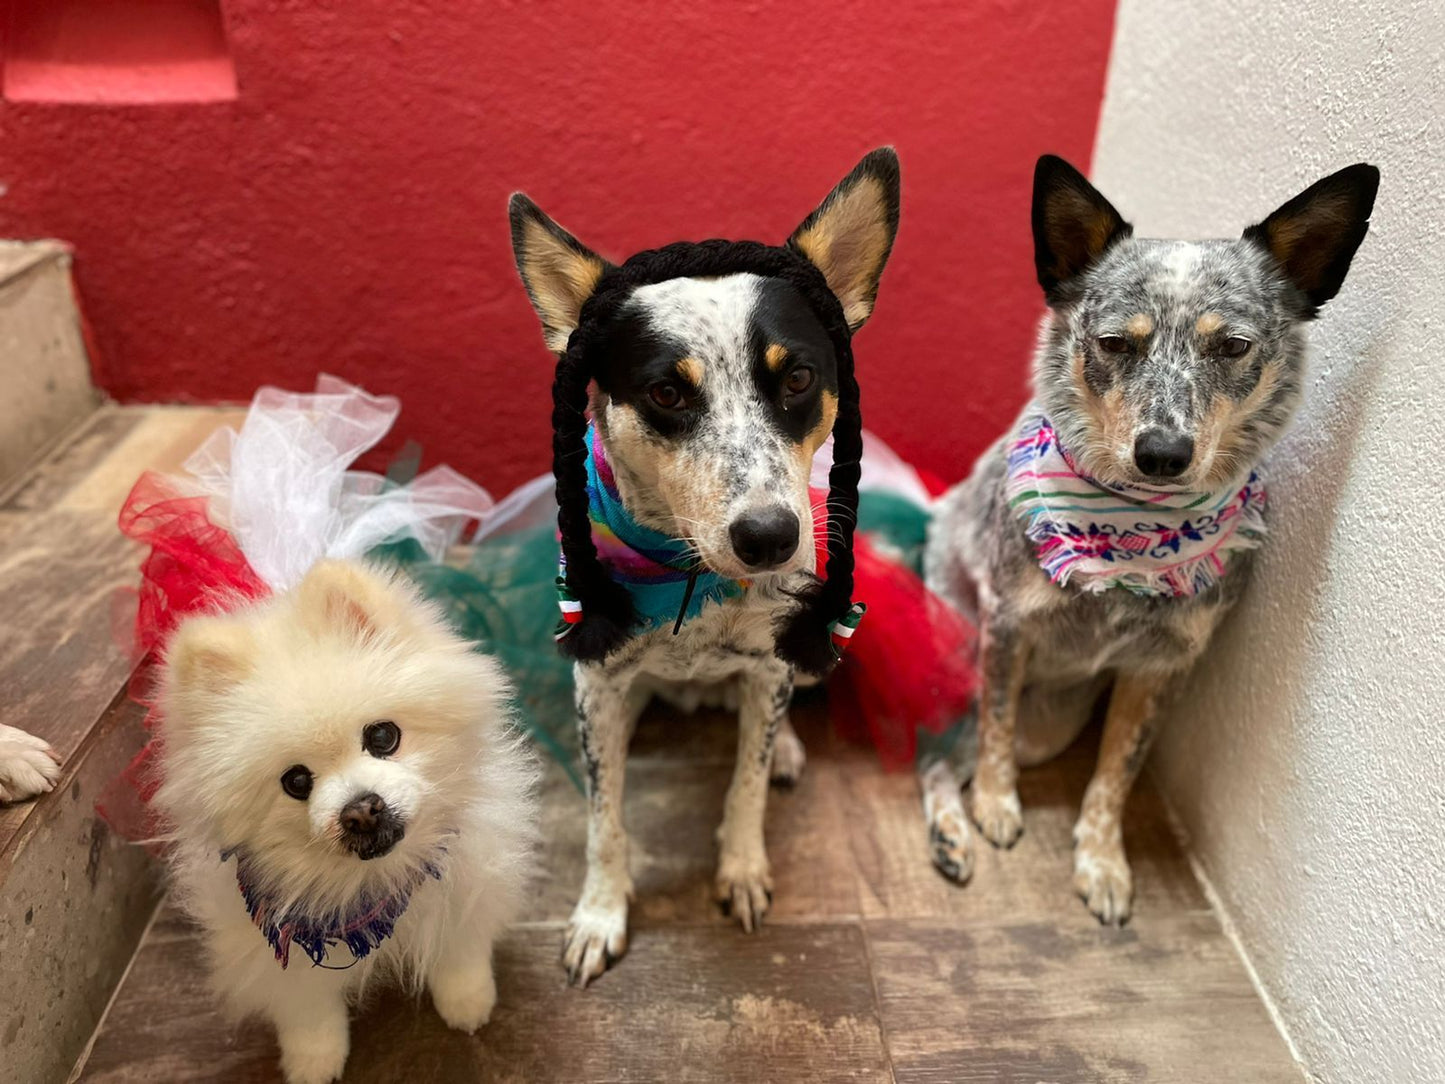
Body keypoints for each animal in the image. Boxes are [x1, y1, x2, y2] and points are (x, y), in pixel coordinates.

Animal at [153, 560, 537, 1084]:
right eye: (296, 781)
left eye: (382, 736)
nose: (360, 809)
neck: (373, 887)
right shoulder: (275, 952)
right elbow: (307, 1010)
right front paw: (313, 1060)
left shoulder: (466, 877)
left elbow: (459, 947)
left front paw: (467, 1000)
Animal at [502, 148, 895, 988]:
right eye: (665, 391)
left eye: (797, 378)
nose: (770, 536)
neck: (690, 577)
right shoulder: (597, 682)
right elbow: (604, 817)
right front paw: (599, 912)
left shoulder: (767, 667)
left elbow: (744, 785)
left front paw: (742, 869)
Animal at [919, 154, 1381, 925]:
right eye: (1114, 343)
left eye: (1232, 346)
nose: (1162, 453)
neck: (1135, 536)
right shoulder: (1007, 628)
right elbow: (994, 730)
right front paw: (995, 805)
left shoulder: (1159, 669)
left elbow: (1116, 774)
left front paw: (1103, 862)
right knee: (932, 754)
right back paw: (953, 831)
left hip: (1053, 726)